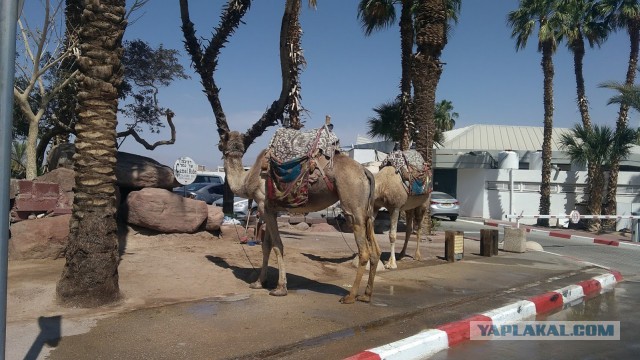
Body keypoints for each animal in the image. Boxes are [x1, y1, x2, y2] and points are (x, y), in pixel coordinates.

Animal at [219, 129, 380, 304]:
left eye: (221, 140)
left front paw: (280, 288)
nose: (219, 146)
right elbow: (266, 245)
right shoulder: (271, 209)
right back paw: (366, 295)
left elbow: (277, 245)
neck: (248, 178)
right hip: (367, 211)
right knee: (375, 249)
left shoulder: (263, 205)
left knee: (364, 250)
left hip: (353, 205)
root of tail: (365, 171)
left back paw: (350, 296)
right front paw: (259, 283)